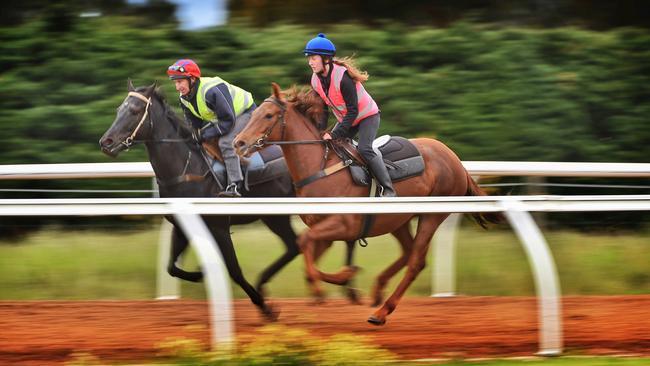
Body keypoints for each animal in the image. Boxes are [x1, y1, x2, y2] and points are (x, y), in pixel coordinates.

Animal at [98, 81, 356, 318]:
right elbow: (172, 267)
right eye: (119, 109)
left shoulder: (219, 226)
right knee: (295, 246)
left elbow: (233, 269)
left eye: (134, 111)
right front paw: (202, 271)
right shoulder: (182, 225)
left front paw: (264, 306)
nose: (106, 142)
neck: (187, 167)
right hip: (274, 216)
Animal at [233, 85, 502, 326]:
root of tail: (454, 158)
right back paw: (377, 290)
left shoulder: (343, 224)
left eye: (268, 115)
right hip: (399, 220)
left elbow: (307, 247)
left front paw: (336, 283)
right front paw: (342, 280)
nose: (239, 143)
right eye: (254, 114)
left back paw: (381, 312)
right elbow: (307, 256)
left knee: (416, 262)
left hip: (432, 215)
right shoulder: (324, 231)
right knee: (408, 253)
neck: (320, 167)